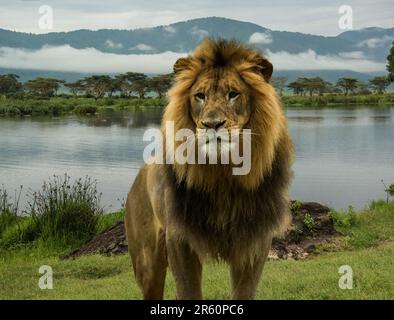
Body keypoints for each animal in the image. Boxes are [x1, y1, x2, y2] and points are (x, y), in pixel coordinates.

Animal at [124, 38, 294, 300]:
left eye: (233, 94)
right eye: (200, 96)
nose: (212, 124)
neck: (222, 172)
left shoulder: (254, 238)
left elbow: (244, 291)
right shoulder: (180, 237)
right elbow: (188, 291)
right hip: (147, 260)